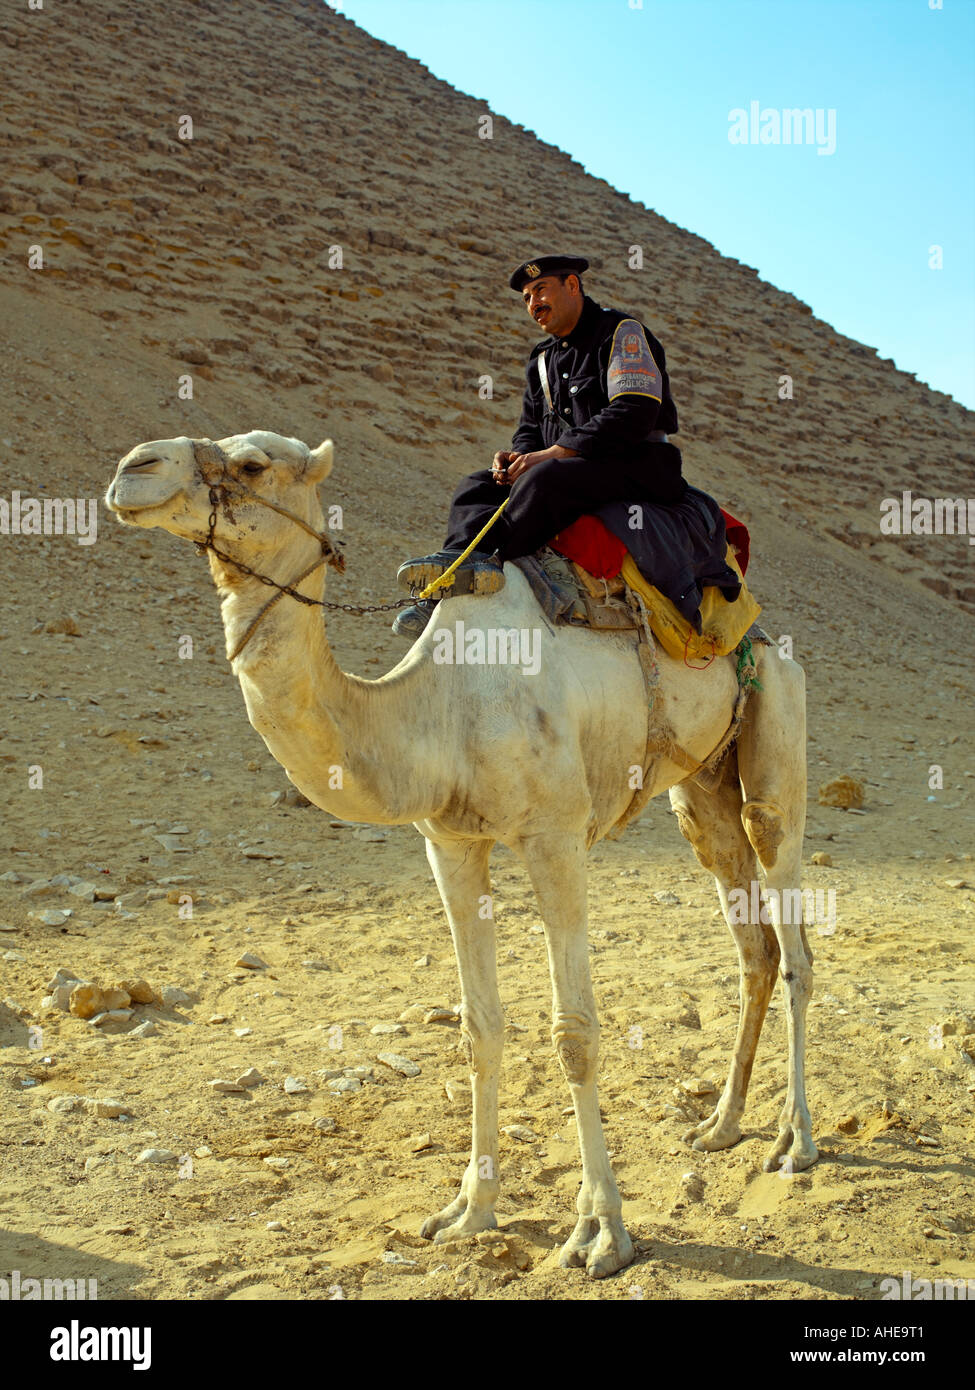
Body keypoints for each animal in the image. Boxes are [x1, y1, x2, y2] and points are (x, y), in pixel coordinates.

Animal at [104, 428, 812, 1273]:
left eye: (252, 464)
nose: (132, 469)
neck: (435, 705)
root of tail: (760, 625)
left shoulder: (554, 835)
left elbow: (574, 1034)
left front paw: (598, 1230)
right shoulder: (449, 841)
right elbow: (479, 1027)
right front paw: (468, 1210)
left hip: (774, 725)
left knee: (791, 931)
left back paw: (794, 1142)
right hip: (701, 789)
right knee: (752, 944)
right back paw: (723, 1123)